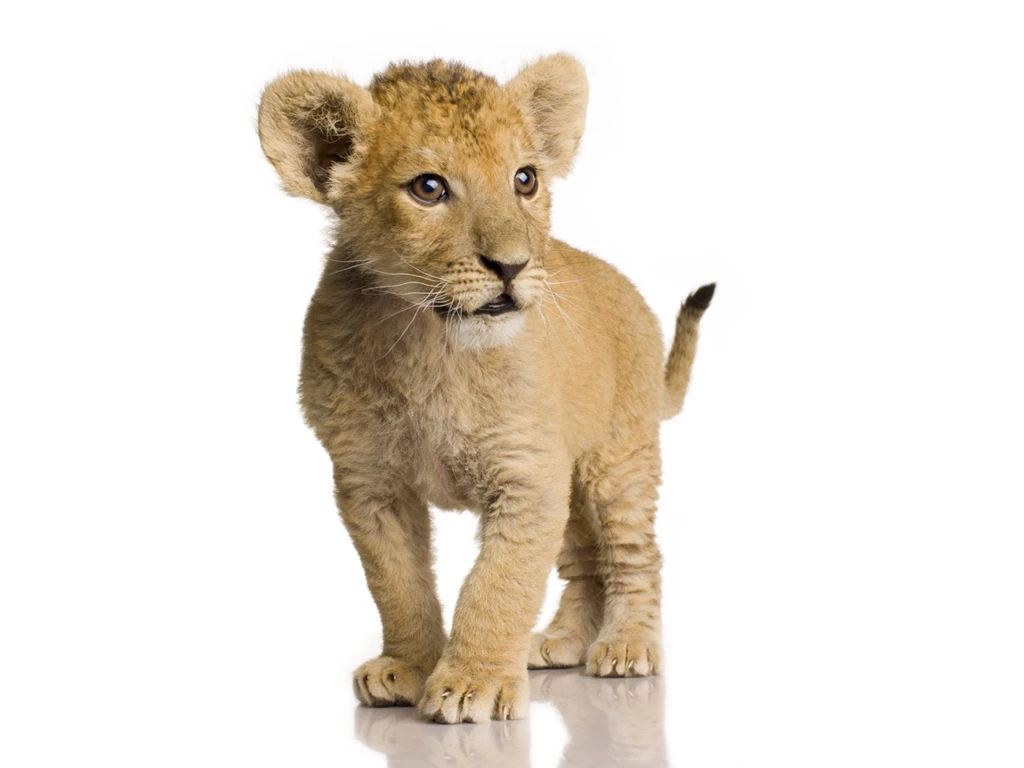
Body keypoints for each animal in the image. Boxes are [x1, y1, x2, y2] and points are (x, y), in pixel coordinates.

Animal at [257, 54, 714, 724]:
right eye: (429, 188)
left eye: (525, 179)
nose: (513, 266)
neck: (430, 343)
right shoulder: (368, 481)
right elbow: (397, 582)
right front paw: (409, 667)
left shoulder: (527, 474)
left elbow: (498, 582)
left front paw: (474, 683)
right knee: (584, 562)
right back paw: (560, 643)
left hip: (617, 458)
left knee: (633, 554)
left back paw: (627, 646)